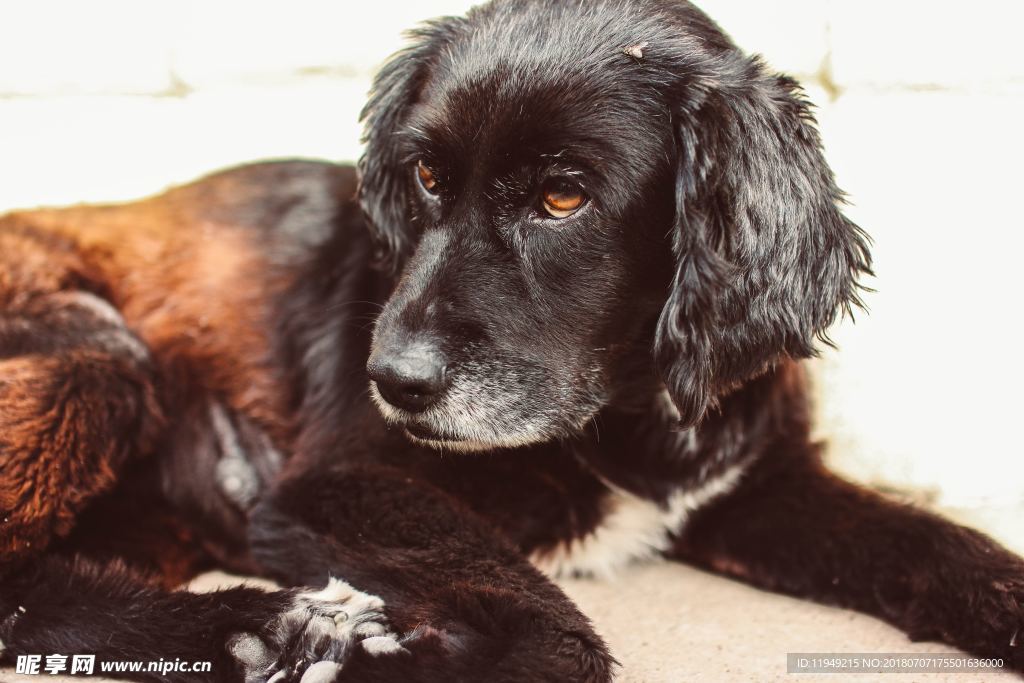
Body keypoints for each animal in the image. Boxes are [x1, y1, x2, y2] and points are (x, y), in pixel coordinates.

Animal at [2, 1, 1024, 679]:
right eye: (424, 176)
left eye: (564, 195)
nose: (392, 379)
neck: (629, 415)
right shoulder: (340, 477)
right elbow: (552, 630)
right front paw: (380, 661)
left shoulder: (755, 489)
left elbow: (929, 540)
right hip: (104, 361)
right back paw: (275, 628)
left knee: (40, 592)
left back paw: (254, 631)